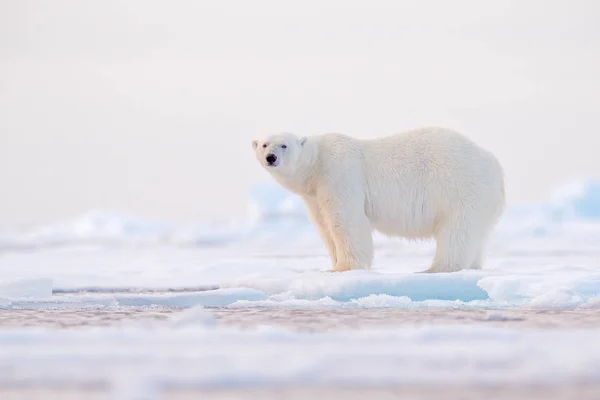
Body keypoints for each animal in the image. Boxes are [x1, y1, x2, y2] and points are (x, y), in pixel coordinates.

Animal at [251, 126, 504, 274]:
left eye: (284, 145)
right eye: (264, 144)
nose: (271, 157)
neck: (316, 164)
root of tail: (494, 163)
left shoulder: (339, 173)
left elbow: (346, 221)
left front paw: (344, 268)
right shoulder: (313, 195)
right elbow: (325, 226)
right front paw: (333, 265)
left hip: (459, 187)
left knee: (456, 231)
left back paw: (436, 269)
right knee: (476, 236)